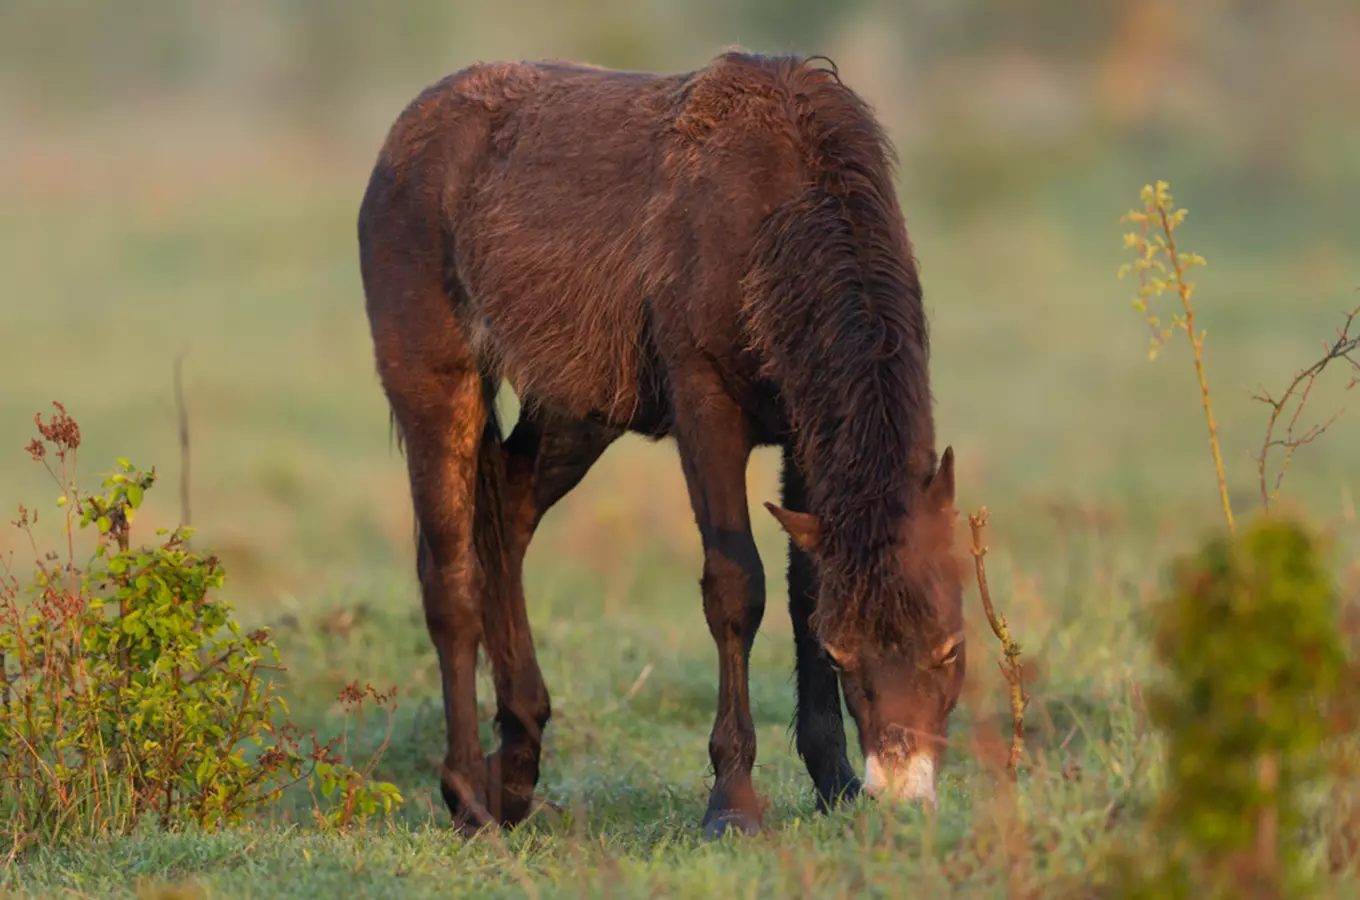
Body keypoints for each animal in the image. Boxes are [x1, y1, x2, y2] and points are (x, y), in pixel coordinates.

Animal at [356, 49, 962, 837]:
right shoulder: (705, 407)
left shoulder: (805, 436)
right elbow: (737, 587)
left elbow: (803, 589)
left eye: (951, 647)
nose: (904, 803)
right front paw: (732, 801)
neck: (776, 203)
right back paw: (468, 798)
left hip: (576, 409)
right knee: (450, 577)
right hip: (435, 382)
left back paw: (516, 766)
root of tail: (404, 135)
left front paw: (832, 782)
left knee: (507, 513)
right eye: (844, 655)